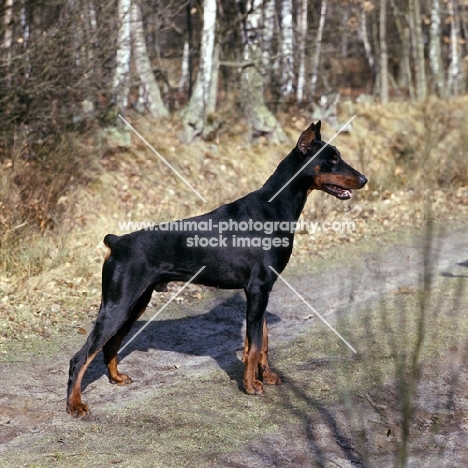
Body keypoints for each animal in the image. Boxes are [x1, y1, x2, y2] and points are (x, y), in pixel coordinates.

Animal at [66, 120, 366, 416]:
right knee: (80, 357)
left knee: (110, 345)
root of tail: (116, 242)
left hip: (135, 303)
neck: (275, 208)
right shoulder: (257, 288)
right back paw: (75, 404)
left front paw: (266, 377)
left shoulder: (262, 290)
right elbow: (254, 345)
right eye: (332, 159)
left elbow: (262, 340)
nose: (364, 179)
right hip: (118, 304)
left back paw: (116, 378)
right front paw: (251, 386)